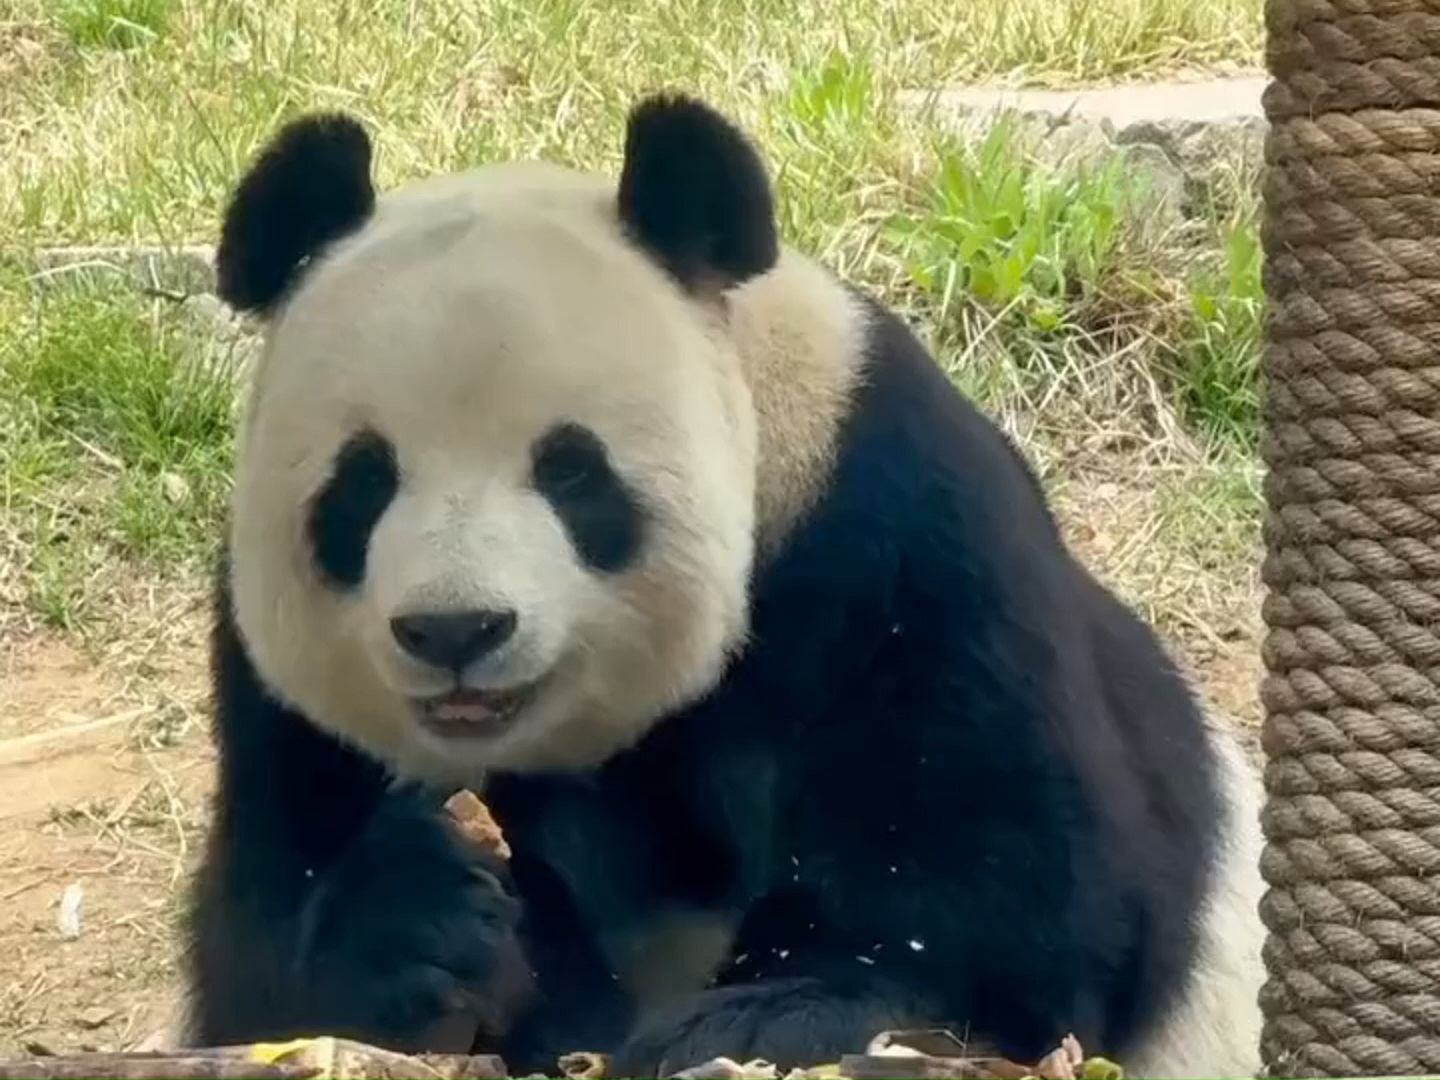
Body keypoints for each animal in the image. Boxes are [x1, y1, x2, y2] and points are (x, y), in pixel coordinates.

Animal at [182, 95, 1261, 1080]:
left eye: (571, 471)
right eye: (364, 483)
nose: (456, 631)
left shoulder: (893, 530)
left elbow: (1020, 898)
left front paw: (762, 1021)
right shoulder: (275, 695)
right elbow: (259, 963)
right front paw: (427, 925)